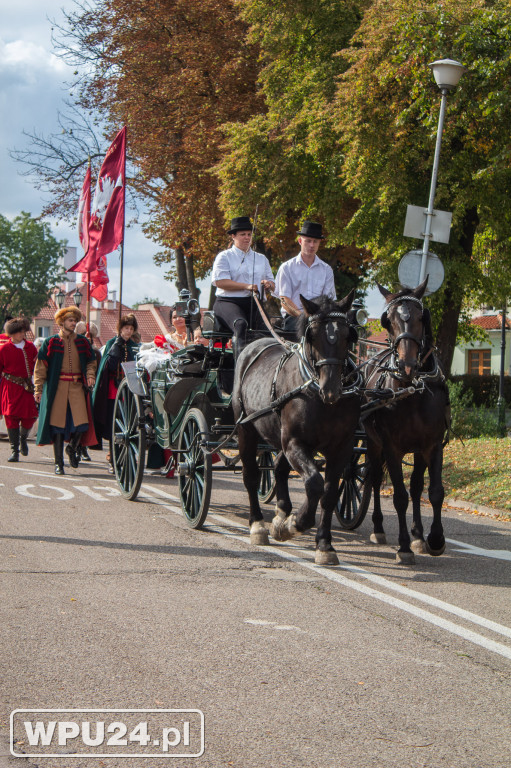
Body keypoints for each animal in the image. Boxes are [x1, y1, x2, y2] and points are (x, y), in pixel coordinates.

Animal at [232, 292, 360, 568]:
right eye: (312, 335)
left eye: (348, 335)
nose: (331, 389)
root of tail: (254, 344)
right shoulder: (295, 443)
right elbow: (314, 483)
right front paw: (296, 524)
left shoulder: (342, 448)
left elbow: (329, 494)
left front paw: (324, 545)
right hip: (246, 430)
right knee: (251, 475)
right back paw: (258, 525)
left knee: (278, 468)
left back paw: (281, 513)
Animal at [364, 280, 452, 560]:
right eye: (388, 320)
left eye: (420, 317)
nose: (407, 364)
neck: (413, 389)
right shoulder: (391, 446)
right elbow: (399, 496)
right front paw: (403, 546)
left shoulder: (431, 445)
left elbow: (433, 492)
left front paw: (434, 539)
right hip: (372, 442)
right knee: (374, 479)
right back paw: (379, 528)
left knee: (415, 486)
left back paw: (418, 536)